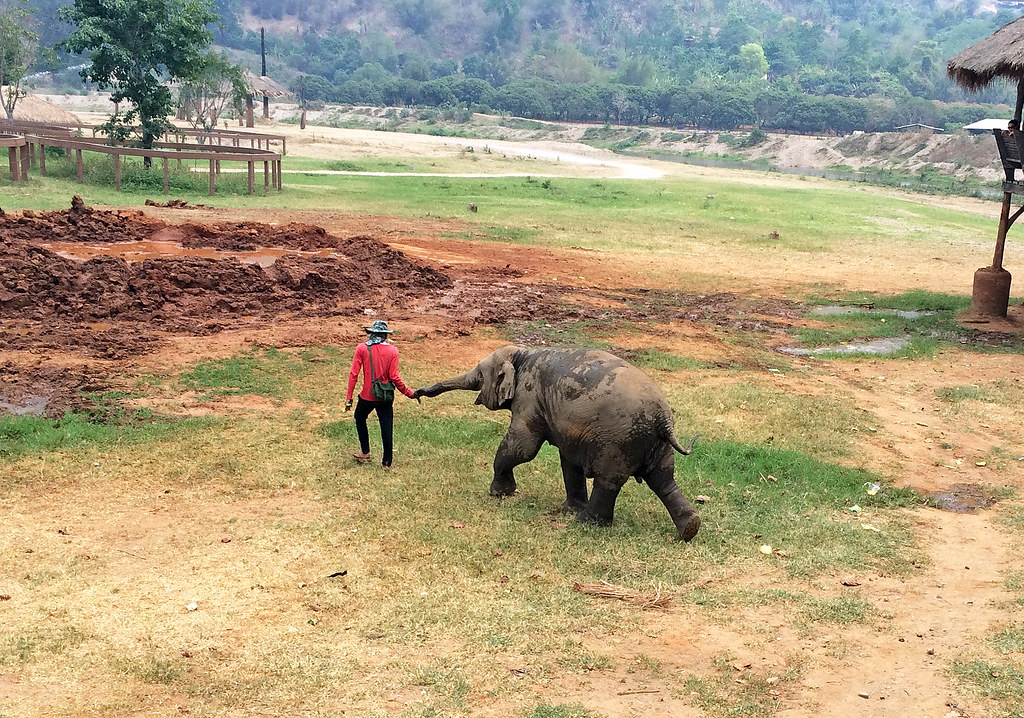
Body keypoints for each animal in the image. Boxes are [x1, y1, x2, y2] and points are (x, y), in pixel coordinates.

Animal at [414, 346, 701, 541]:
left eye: (480, 376)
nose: (416, 394)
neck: (521, 354)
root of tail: (663, 418)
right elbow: (568, 460)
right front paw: (568, 510)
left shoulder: (529, 397)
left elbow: (523, 446)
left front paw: (499, 493)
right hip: (653, 444)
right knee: (663, 480)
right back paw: (690, 528)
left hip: (618, 441)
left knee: (609, 480)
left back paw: (587, 523)